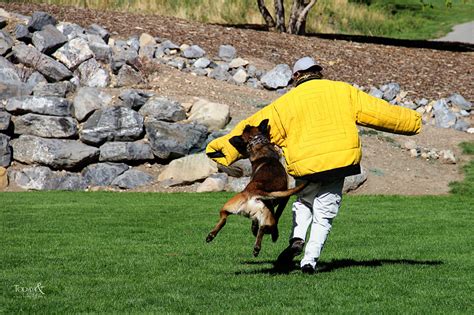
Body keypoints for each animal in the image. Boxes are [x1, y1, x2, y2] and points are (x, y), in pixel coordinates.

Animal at [206, 119, 306, 258]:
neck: (261, 148)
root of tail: (254, 192)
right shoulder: (284, 198)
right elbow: (278, 213)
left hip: (229, 207)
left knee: (226, 218)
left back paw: (213, 235)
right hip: (267, 215)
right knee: (266, 226)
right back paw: (266, 240)